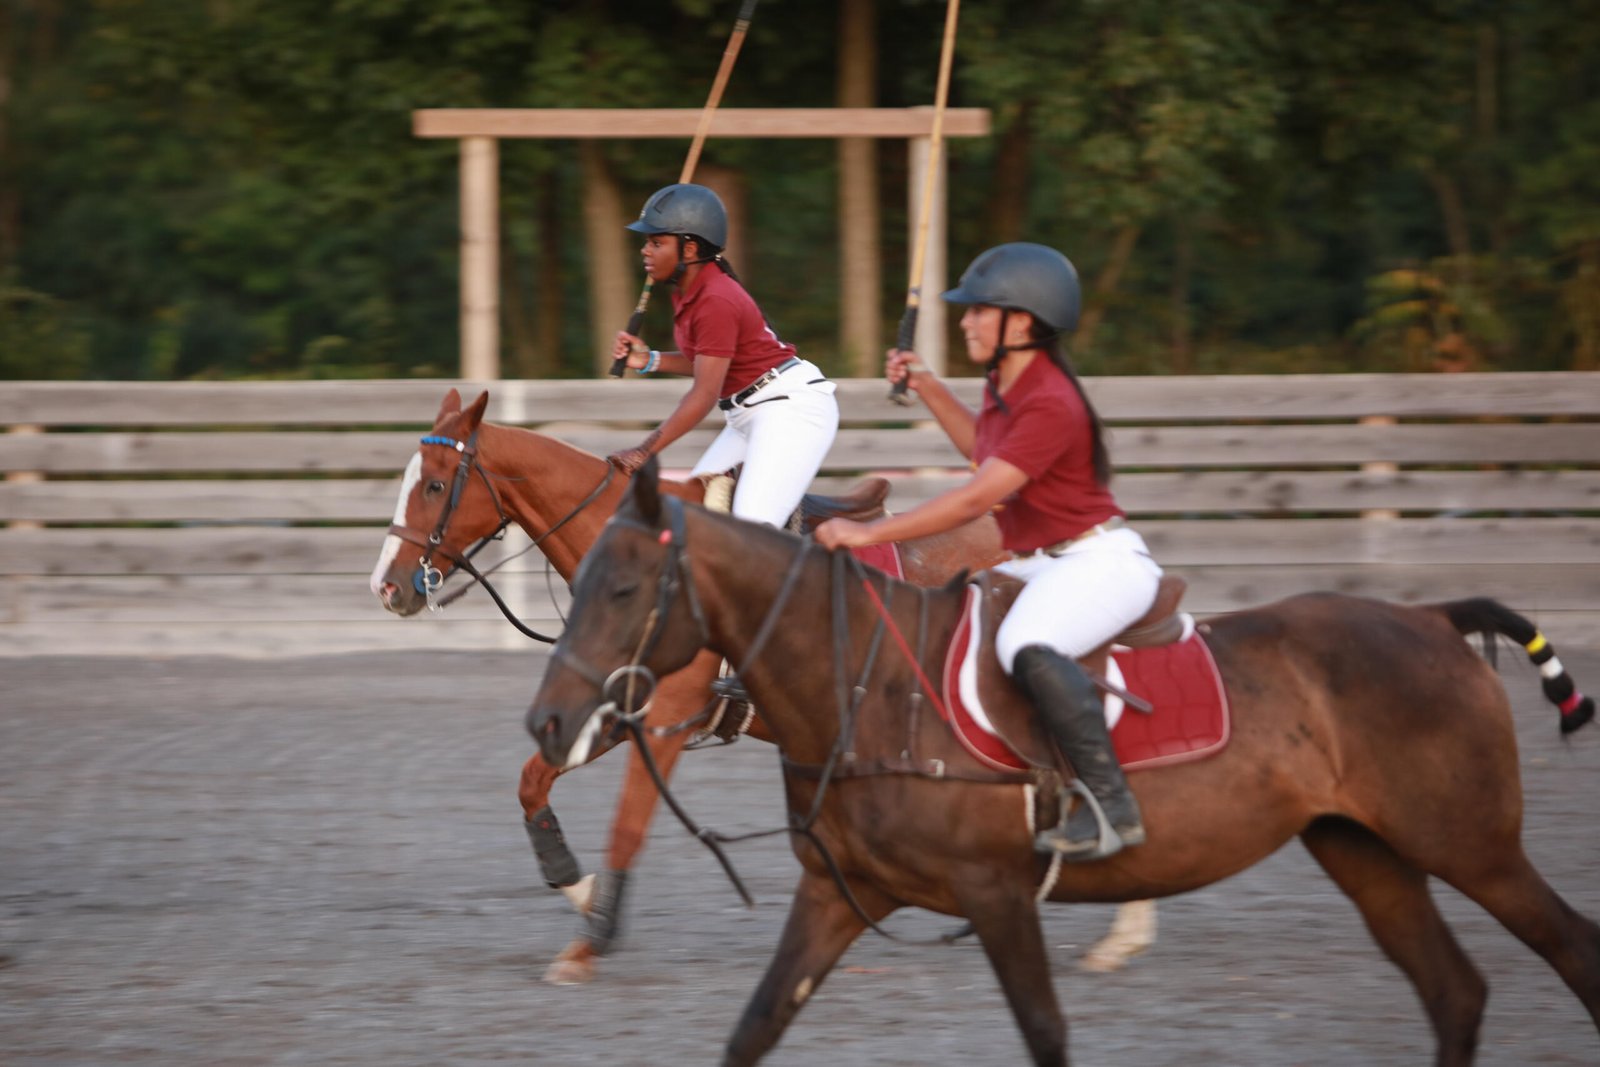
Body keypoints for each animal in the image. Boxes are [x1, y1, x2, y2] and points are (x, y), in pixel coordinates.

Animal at [366, 388, 1017, 979]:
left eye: (434, 486)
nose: (386, 587)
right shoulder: (618, 712)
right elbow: (532, 783)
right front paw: (576, 886)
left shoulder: (663, 725)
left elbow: (627, 828)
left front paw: (589, 944)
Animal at [528, 463, 1600, 1067]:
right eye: (578, 582)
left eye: (624, 588)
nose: (547, 719)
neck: (866, 683)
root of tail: (1435, 619)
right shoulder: (841, 894)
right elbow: (752, 1027)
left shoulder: (996, 892)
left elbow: (1045, 1032)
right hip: (1363, 849)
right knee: (1455, 991)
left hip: (1471, 841)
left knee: (1571, 947)